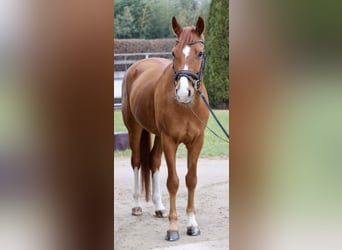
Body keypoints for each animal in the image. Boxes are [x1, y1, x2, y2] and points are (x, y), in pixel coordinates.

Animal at [121, 16, 210, 241]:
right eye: (173, 53)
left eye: (200, 53)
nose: (184, 92)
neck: (187, 107)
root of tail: (136, 66)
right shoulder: (170, 141)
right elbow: (173, 182)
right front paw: (173, 228)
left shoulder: (197, 142)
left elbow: (191, 180)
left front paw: (192, 224)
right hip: (135, 129)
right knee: (136, 162)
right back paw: (136, 206)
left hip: (159, 136)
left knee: (153, 161)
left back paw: (159, 207)